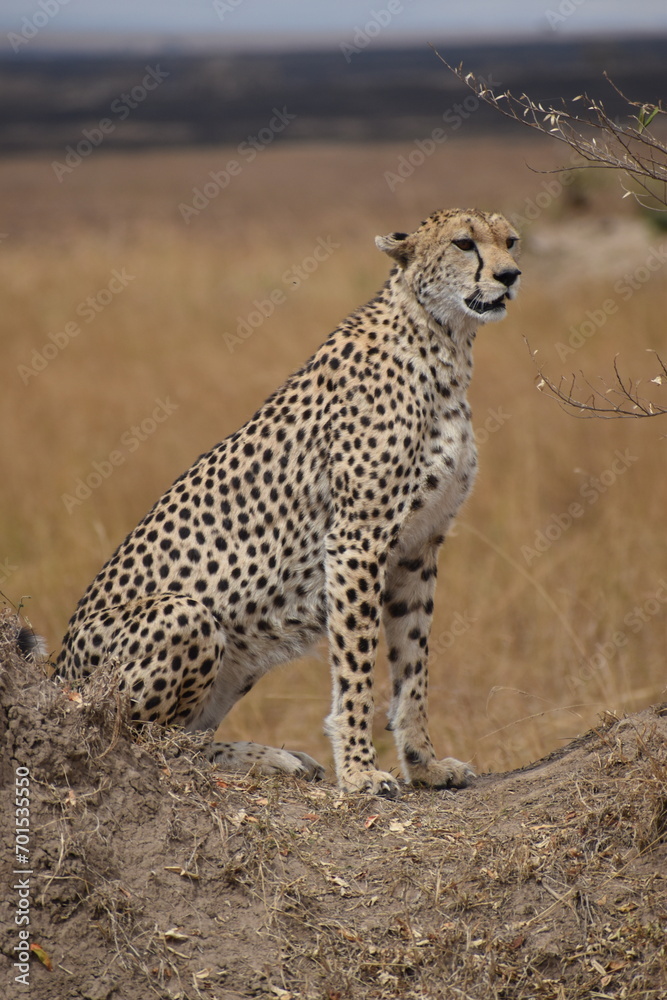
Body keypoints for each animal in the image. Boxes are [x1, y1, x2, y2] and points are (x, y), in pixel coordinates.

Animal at [57, 207, 520, 798]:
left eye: (511, 241)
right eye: (464, 243)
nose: (510, 275)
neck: (444, 340)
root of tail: (54, 677)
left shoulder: (418, 548)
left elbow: (413, 665)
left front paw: (424, 764)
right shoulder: (357, 540)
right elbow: (356, 668)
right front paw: (360, 771)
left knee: (183, 738)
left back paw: (276, 758)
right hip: (186, 616)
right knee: (151, 744)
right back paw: (269, 757)